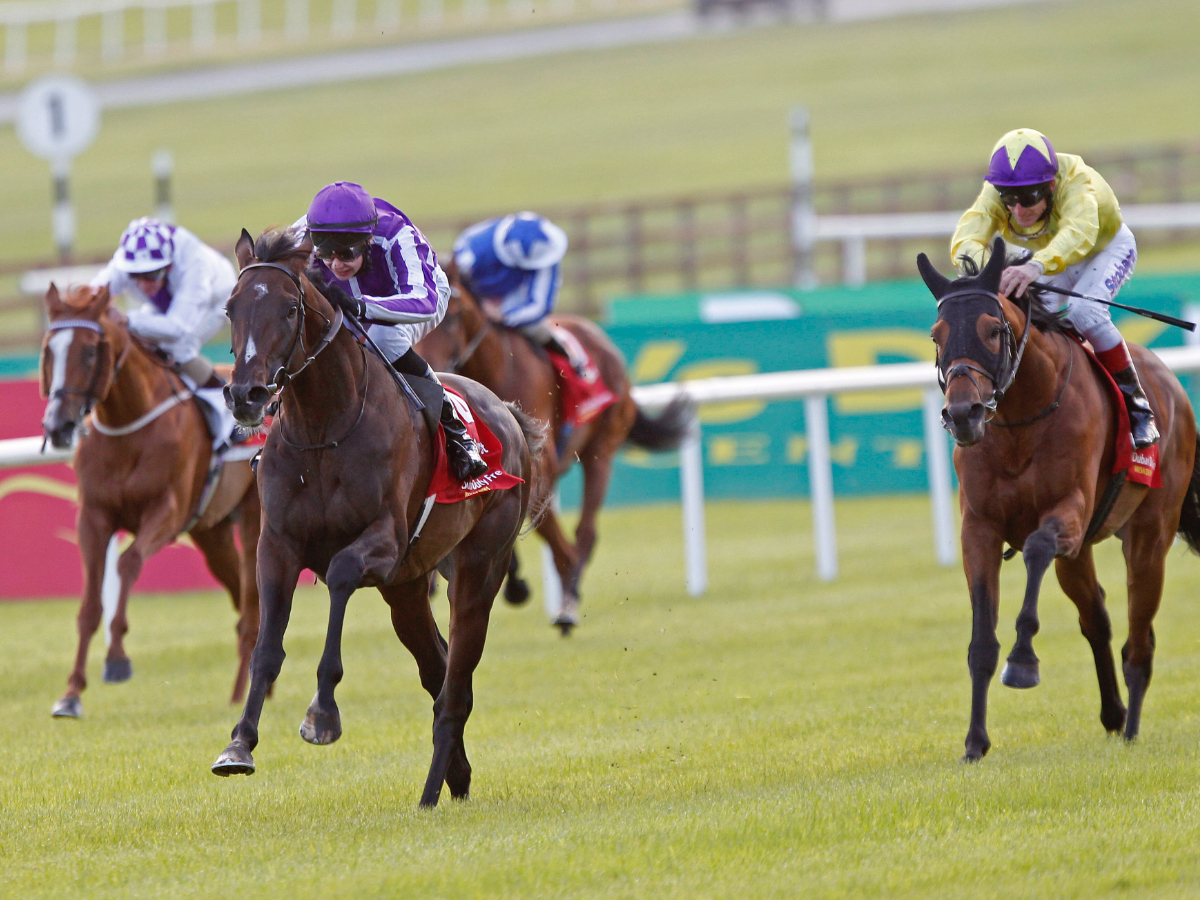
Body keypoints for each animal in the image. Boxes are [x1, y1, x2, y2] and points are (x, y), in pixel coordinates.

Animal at [39, 282, 260, 720]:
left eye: (89, 351)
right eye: (49, 350)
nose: (58, 426)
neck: (128, 428)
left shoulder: (167, 512)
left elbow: (127, 563)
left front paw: (117, 660)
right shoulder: (93, 517)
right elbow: (90, 605)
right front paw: (71, 694)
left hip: (256, 519)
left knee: (254, 602)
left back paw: (247, 695)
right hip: (212, 533)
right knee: (240, 597)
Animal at [213, 232, 542, 811]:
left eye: (291, 308)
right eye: (231, 308)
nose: (246, 394)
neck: (325, 428)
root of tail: (505, 411)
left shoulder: (384, 544)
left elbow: (342, 575)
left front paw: (321, 714)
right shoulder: (276, 546)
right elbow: (266, 648)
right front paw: (239, 744)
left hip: (478, 570)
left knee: (455, 687)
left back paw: (432, 792)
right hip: (407, 590)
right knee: (438, 672)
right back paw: (456, 776)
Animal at [417, 259, 696, 633]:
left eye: (456, 314)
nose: (433, 366)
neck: (495, 368)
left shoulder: (539, 460)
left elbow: (546, 528)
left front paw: (563, 590)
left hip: (601, 451)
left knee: (586, 530)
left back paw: (568, 594)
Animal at [916, 237, 1200, 763]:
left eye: (992, 330)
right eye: (936, 334)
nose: (963, 414)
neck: (1019, 422)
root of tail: (1172, 384)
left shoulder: (1069, 511)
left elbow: (1036, 548)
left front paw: (1023, 661)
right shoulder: (979, 530)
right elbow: (981, 641)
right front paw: (974, 743)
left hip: (1150, 536)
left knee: (1140, 641)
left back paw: (1131, 728)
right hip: (1083, 553)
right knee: (1098, 620)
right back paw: (1113, 714)